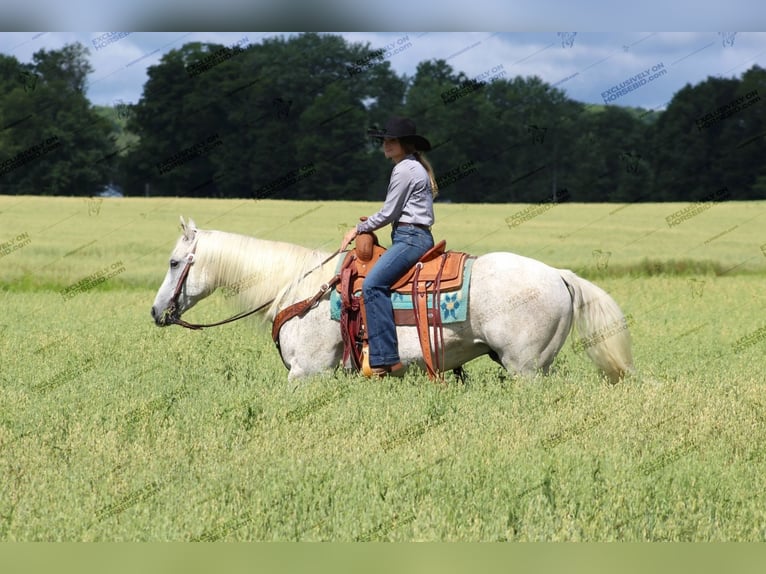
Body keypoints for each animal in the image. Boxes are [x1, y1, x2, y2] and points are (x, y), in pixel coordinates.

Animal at [152, 218, 636, 384]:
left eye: (175, 262)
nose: (157, 312)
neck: (302, 289)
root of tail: (559, 275)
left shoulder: (306, 373)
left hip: (525, 369)